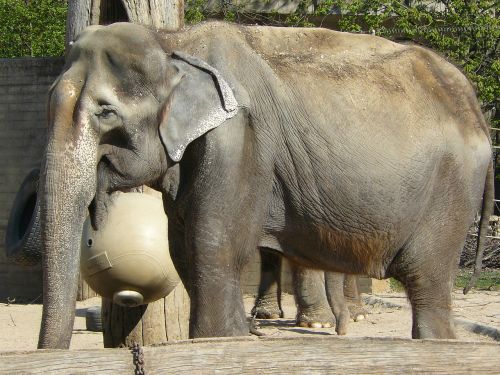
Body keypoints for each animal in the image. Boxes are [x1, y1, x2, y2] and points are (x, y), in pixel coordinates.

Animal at [34, 21, 492, 350]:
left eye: (106, 112)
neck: (173, 43)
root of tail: (475, 107)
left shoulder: (239, 138)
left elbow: (213, 243)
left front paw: (221, 341)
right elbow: (182, 250)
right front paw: (241, 336)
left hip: (450, 192)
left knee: (426, 279)